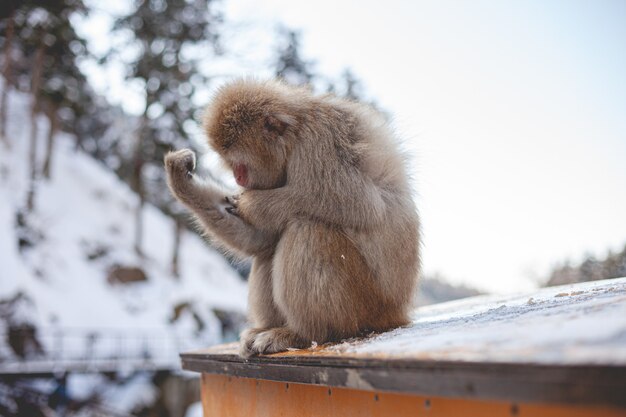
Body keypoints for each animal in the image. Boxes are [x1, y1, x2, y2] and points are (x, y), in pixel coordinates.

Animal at [166, 79, 420, 358]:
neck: (295, 133)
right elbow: (259, 239)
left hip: (365, 305)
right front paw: (181, 180)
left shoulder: (320, 142)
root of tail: (397, 313)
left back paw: (303, 334)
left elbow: (361, 204)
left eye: (239, 163)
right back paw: (267, 329)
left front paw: (253, 203)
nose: (238, 178)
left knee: (307, 229)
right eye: (230, 164)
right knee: (268, 249)